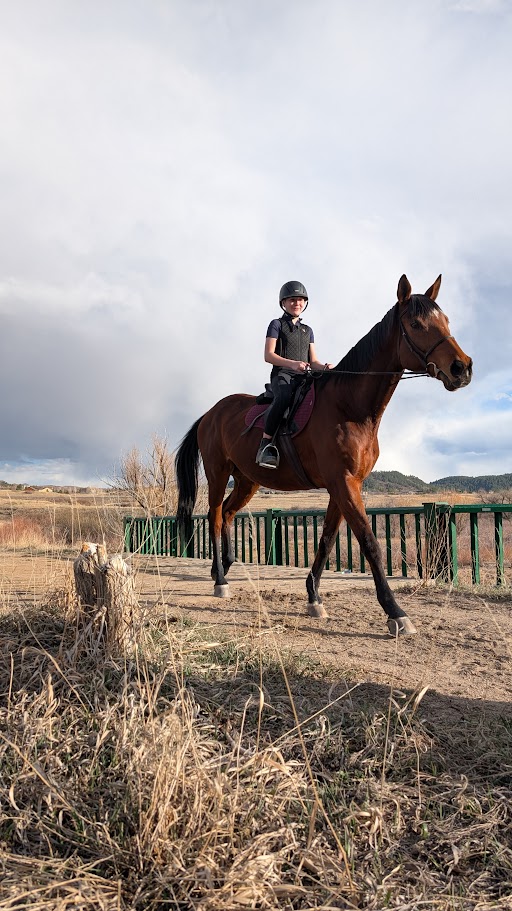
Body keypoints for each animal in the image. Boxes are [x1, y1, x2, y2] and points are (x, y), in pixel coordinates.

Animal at [175, 274, 472, 635]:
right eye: (416, 324)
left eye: (446, 321)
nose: (462, 368)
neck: (349, 406)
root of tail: (209, 413)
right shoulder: (343, 483)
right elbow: (369, 543)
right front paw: (395, 612)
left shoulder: (343, 485)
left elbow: (327, 539)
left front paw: (314, 596)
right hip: (218, 473)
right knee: (216, 516)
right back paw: (219, 579)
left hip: (247, 480)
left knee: (229, 513)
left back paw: (226, 568)